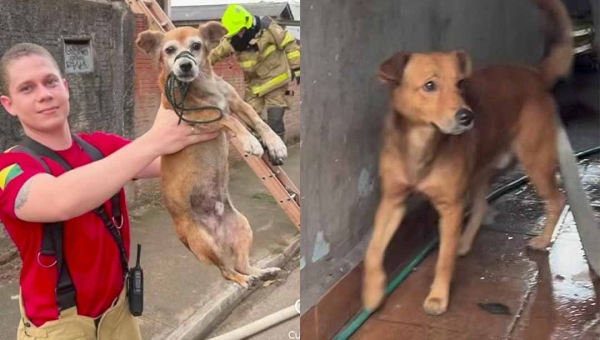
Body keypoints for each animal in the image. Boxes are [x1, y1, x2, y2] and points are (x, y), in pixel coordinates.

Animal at [135, 21, 286, 286]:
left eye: (196, 45)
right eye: (169, 50)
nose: (185, 65)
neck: (204, 84)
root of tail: (218, 232)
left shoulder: (237, 103)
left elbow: (258, 120)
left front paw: (275, 143)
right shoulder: (200, 118)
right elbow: (229, 119)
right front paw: (251, 142)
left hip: (243, 227)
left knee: (241, 265)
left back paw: (261, 273)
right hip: (203, 242)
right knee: (227, 271)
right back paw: (245, 281)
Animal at [360, 0, 572, 314]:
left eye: (460, 84)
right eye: (430, 85)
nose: (467, 116)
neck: (422, 144)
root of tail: (534, 73)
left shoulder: (450, 208)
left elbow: (443, 261)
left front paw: (438, 297)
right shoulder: (392, 201)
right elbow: (373, 250)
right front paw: (373, 292)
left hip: (536, 162)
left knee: (557, 200)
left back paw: (543, 240)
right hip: (480, 171)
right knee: (482, 205)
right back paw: (463, 241)